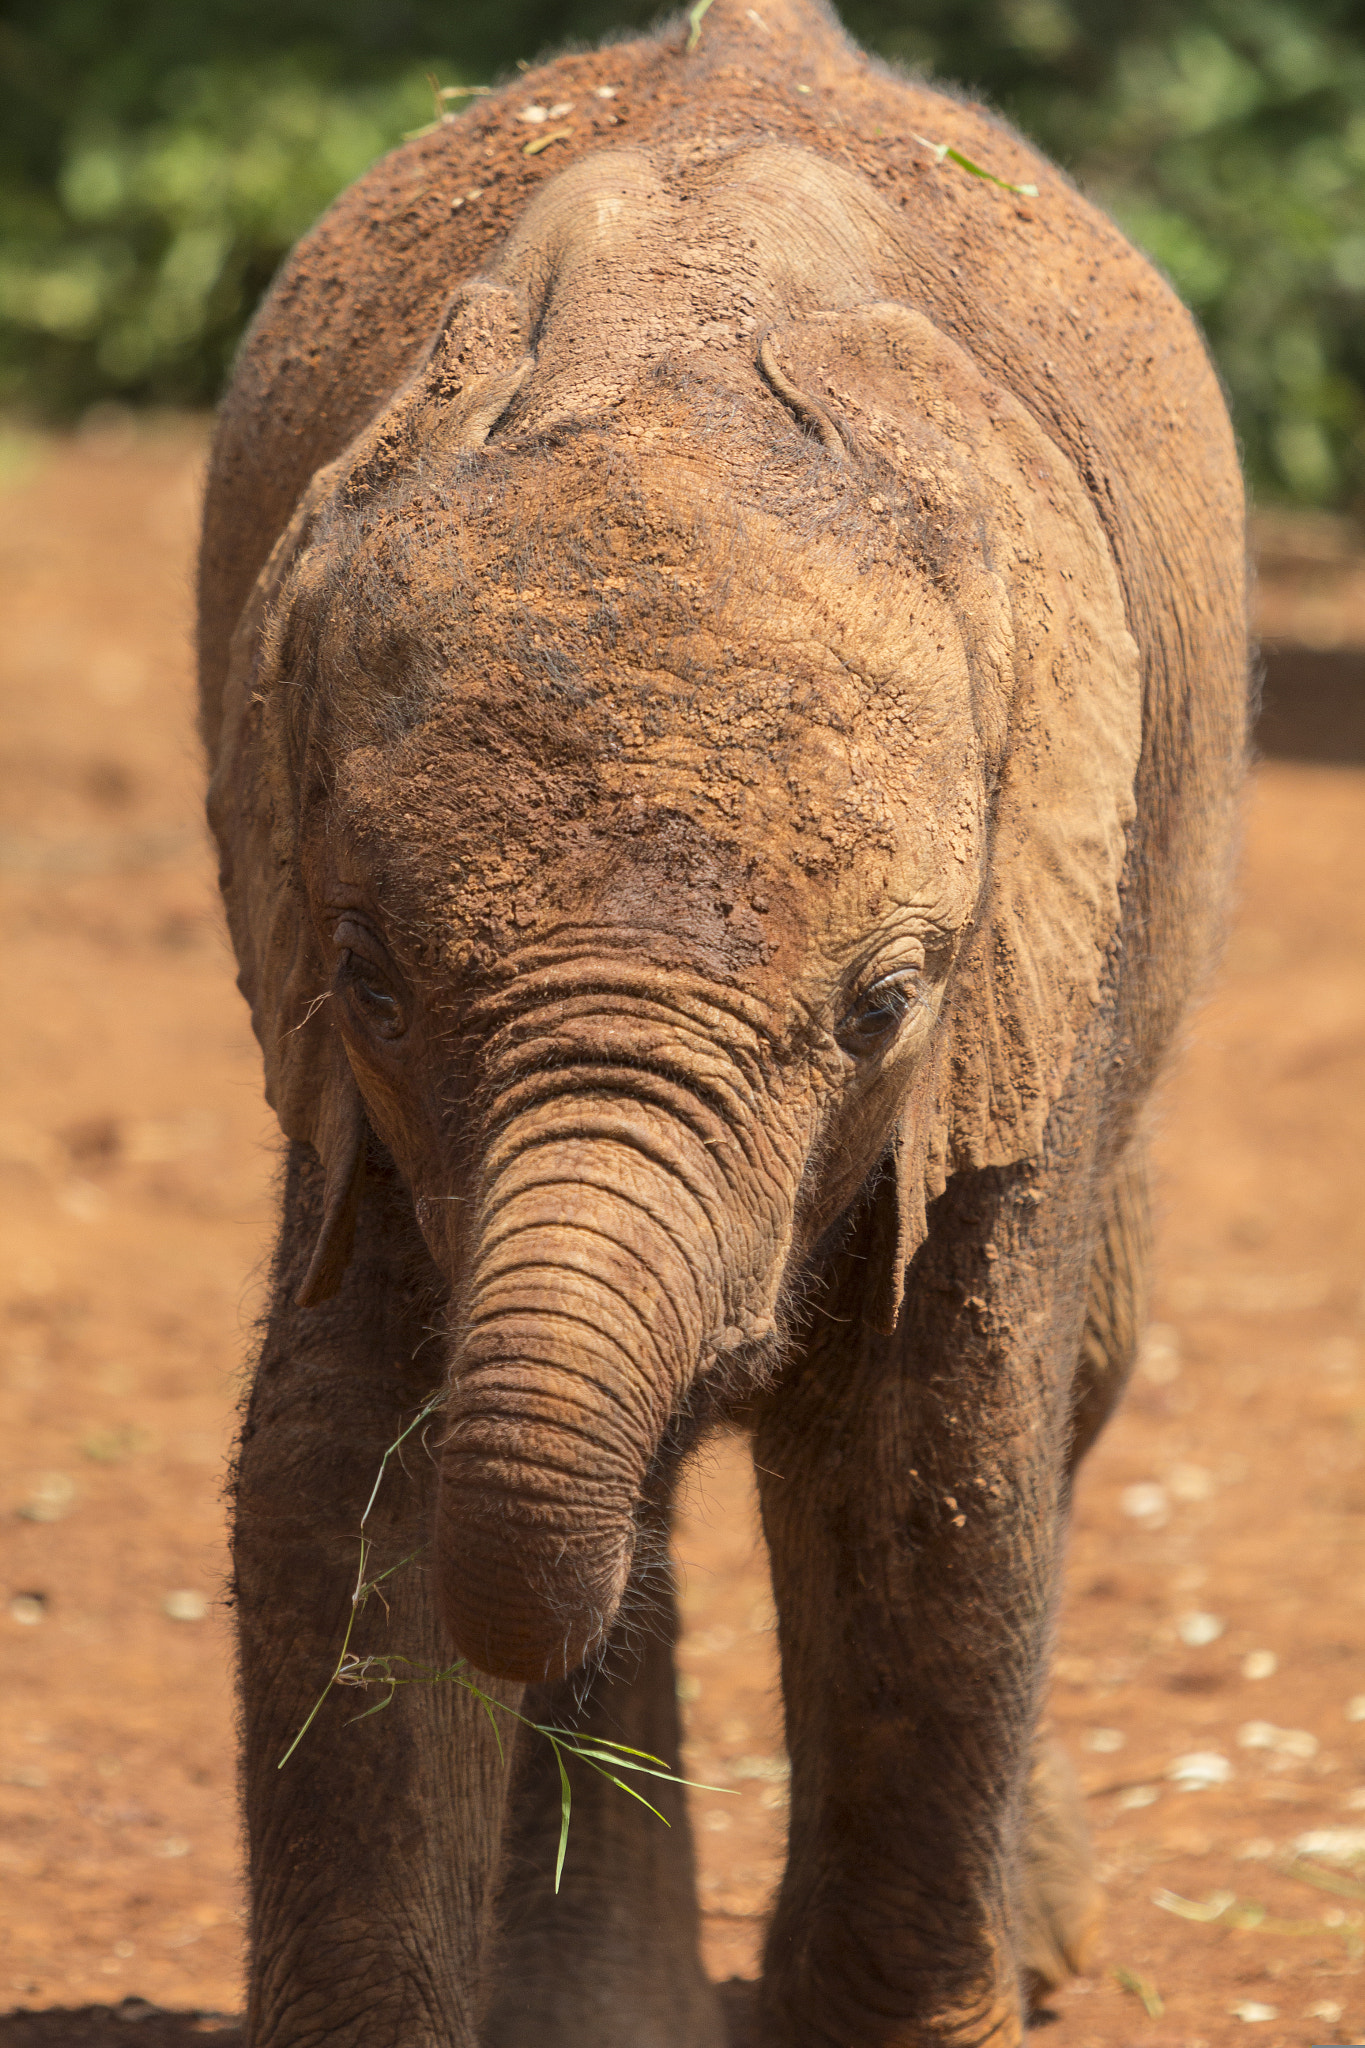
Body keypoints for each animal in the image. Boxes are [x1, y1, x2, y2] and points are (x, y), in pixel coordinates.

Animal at [200, 4, 1252, 2048]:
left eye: (884, 1005)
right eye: (368, 975)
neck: (671, 334)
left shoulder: (1026, 988)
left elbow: (935, 1495)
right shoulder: (342, 1077)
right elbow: (342, 1481)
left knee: (1080, 1377)